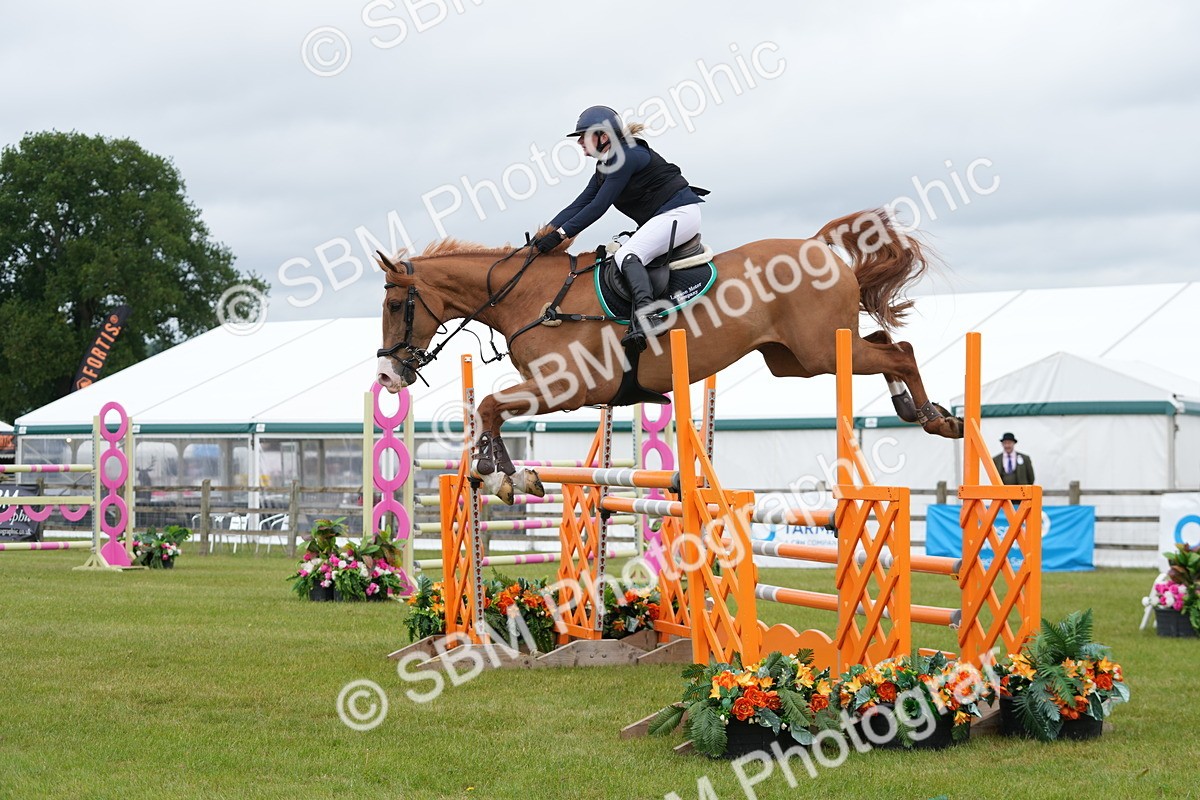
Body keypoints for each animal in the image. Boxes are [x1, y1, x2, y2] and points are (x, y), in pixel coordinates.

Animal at [376, 209, 962, 501]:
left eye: (394, 304)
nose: (386, 375)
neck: (530, 297)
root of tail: (822, 250)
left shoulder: (568, 389)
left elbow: (490, 405)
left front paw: (504, 476)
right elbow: (489, 409)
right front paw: (505, 475)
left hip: (817, 352)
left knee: (900, 352)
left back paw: (935, 418)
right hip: (795, 358)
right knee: (889, 344)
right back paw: (915, 408)